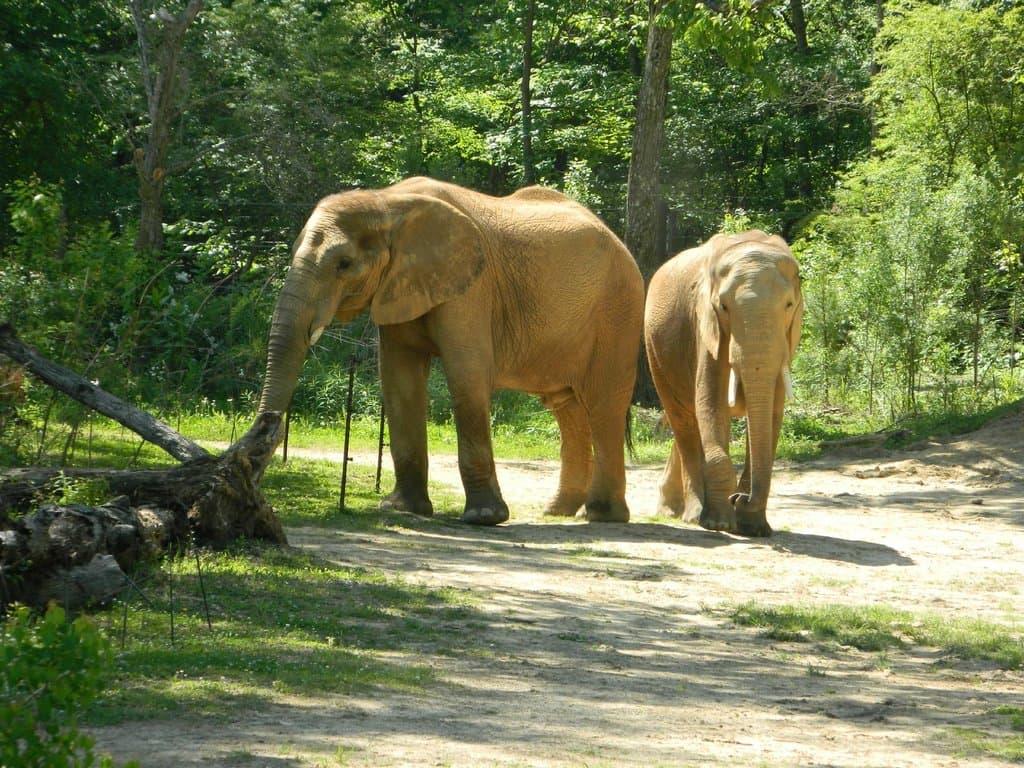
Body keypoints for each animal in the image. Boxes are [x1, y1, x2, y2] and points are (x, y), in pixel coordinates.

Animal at [258, 176, 645, 526]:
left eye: (344, 264)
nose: (268, 426)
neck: (387, 202)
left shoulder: (471, 287)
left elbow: (467, 375)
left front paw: (484, 518)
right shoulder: (400, 285)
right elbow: (399, 382)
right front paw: (403, 510)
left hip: (619, 308)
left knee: (604, 405)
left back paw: (602, 516)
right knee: (566, 407)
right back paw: (558, 511)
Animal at [644, 230, 803, 537]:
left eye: (789, 305)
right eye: (724, 307)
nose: (739, 497)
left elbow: (772, 414)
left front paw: (754, 529)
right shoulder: (706, 328)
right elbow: (711, 403)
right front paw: (720, 523)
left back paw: (673, 511)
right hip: (655, 351)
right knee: (684, 423)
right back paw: (693, 515)